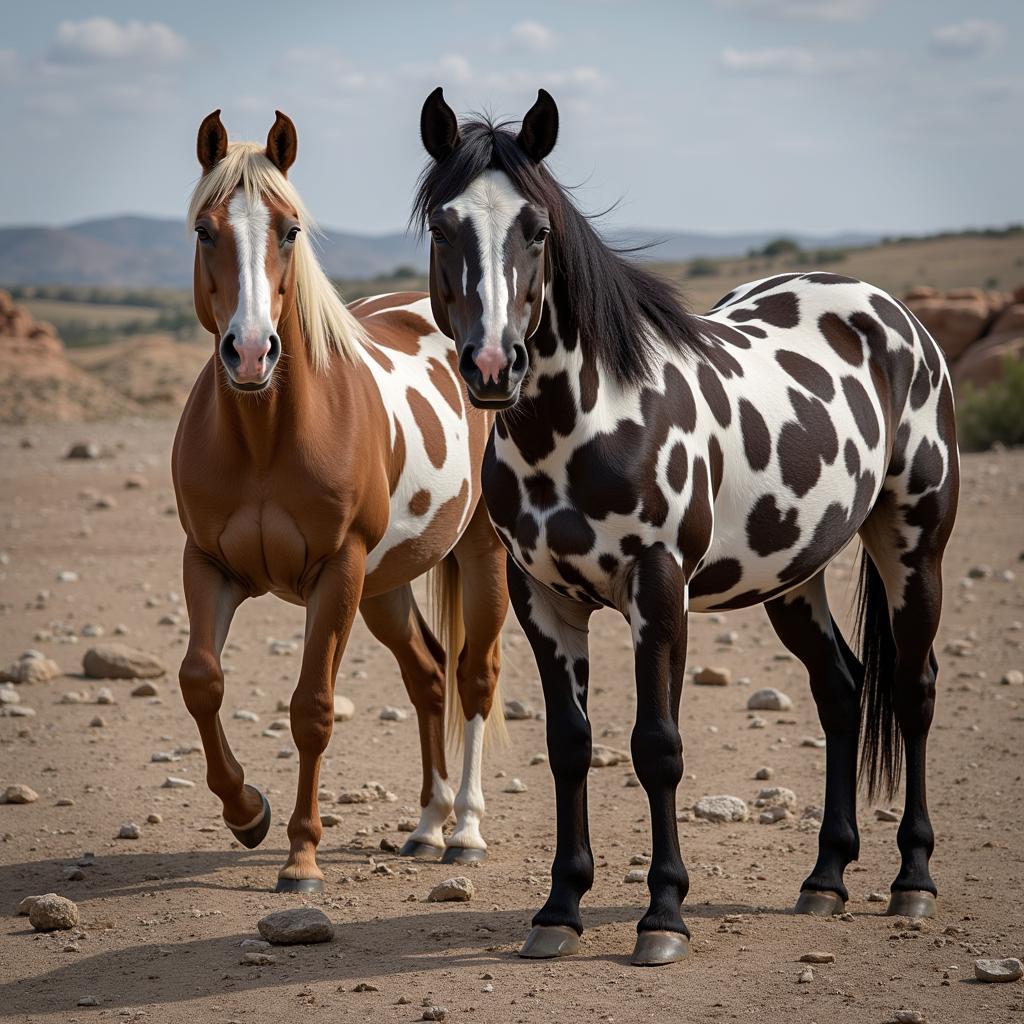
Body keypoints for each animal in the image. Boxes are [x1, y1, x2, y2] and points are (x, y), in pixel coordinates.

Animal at [176, 112, 512, 892]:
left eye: (291, 229)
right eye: (205, 230)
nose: (250, 352)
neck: (266, 436)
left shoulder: (336, 572)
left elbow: (313, 709)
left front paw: (301, 855)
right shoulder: (208, 564)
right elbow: (201, 681)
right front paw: (248, 812)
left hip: (475, 554)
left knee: (474, 677)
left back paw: (467, 830)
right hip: (385, 584)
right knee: (427, 674)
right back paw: (426, 825)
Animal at [409, 90, 958, 966]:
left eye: (537, 229)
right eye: (444, 226)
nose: (494, 365)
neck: (587, 423)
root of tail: (887, 310)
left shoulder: (659, 591)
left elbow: (656, 747)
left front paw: (663, 915)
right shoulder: (542, 602)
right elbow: (570, 746)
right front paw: (559, 909)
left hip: (914, 545)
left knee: (912, 689)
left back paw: (912, 880)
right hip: (794, 574)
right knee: (840, 689)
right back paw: (825, 879)